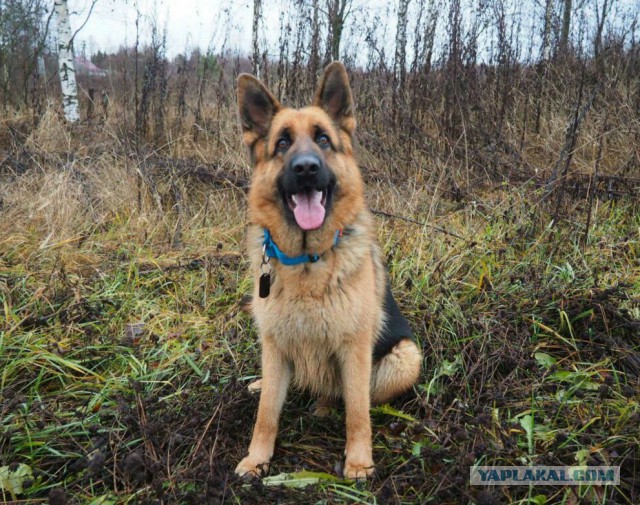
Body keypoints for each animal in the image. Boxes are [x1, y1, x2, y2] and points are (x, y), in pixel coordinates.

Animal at [234, 61, 420, 478]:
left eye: (323, 139)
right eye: (282, 143)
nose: (306, 169)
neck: (306, 261)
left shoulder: (354, 350)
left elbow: (357, 412)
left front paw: (359, 462)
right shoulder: (273, 343)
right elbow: (266, 414)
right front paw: (257, 458)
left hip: (406, 357)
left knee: (353, 396)